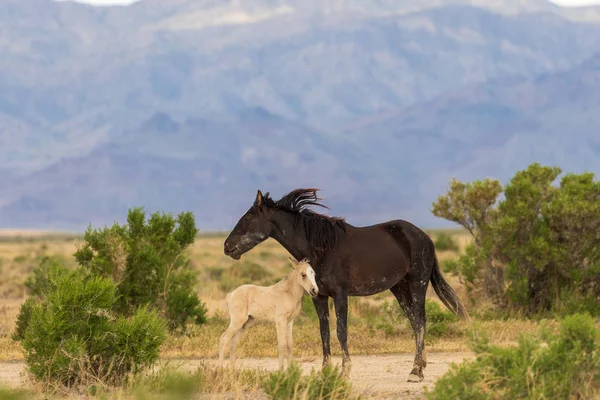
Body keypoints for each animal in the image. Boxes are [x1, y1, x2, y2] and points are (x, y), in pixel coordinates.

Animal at [224, 188, 468, 382]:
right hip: (399, 288)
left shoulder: (340, 295)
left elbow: (341, 331)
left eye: (248, 218)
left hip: (418, 284)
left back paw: (415, 371)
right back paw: (420, 365)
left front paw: (345, 370)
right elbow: (324, 331)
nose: (227, 246)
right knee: (415, 322)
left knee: (420, 321)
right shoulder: (319, 296)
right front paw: (325, 371)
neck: (321, 248)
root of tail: (424, 237)